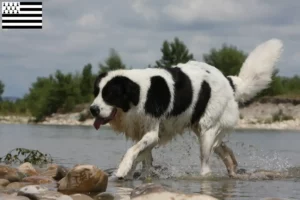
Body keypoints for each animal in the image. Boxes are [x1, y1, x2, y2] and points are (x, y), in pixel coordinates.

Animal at [89, 38, 284, 179]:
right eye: (96, 92)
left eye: (110, 95)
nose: (92, 109)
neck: (138, 94)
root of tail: (227, 80)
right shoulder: (143, 133)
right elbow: (143, 156)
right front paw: (137, 175)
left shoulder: (152, 133)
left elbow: (133, 151)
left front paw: (122, 170)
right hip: (205, 128)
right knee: (223, 149)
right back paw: (233, 170)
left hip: (207, 131)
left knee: (206, 164)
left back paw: (206, 175)